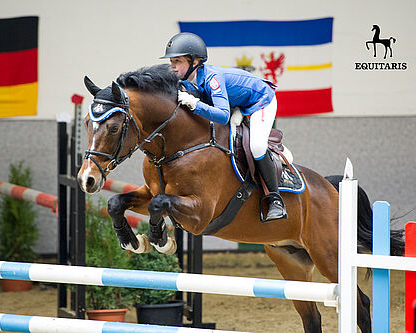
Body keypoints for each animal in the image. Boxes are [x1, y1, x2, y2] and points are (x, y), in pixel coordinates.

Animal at [76, 63, 404, 330]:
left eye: (114, 127)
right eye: (87, 124)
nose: (87, 179)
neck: (181, 143)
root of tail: (333, 188)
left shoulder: (200, 214)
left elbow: (160, 205)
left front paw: (159, 239)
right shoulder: (150, 192)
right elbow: (117, 202)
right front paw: (132, 241)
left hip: (329, 255)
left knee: (360, 305)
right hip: (291, 262)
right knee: (311, 316)